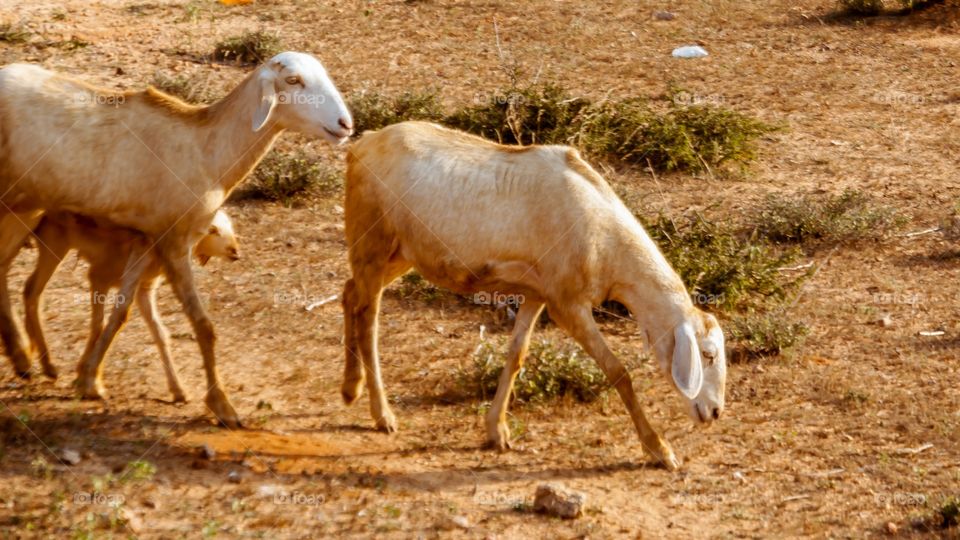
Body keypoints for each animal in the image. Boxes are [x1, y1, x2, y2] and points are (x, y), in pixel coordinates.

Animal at [23, 210, 239, 403]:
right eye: (212, 230)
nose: (235, 251)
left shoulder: (144, 288)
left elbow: (159, 334)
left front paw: (178, 389)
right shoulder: (99, 276)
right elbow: (100, 325)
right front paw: (88, 380)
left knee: (29, 289)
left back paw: (32, 356)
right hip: (55, 242)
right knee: (32, 290)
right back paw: (41, 363)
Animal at [341, 121, 726, 470]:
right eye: (707, 355)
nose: (714, 411)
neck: (605, 237)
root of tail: (362, 145)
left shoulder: (536, 294)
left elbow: (517, 356)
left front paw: (496, 431)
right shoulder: (567, 305)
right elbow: (618, 372)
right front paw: (659, 449)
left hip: (400, 254)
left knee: (349, 293)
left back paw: (350, 389)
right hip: (372, 243)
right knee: (368, 319)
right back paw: (382, 414)